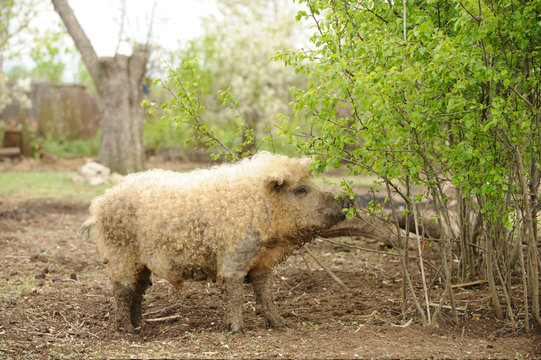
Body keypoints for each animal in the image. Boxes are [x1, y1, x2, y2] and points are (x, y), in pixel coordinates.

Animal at [78, 151, 348, 332]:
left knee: (138, 288)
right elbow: (235, 293)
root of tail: (99, 204)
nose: (346, 200)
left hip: (139, 262)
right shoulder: (233, 256)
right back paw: (127, 330)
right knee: (121, 289)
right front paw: (239, 331)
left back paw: (140, 325)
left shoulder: (262, 263)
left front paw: (282, 325)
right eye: (301, 190)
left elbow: (265, 294)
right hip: (119, 253)